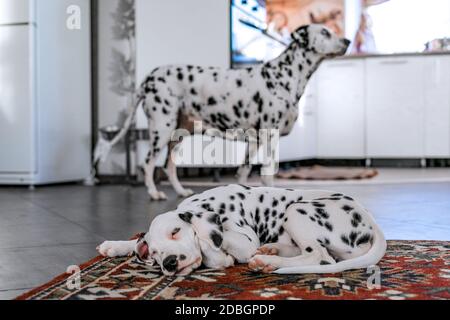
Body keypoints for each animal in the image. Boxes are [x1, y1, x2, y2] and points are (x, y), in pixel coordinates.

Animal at [98, 24, 350, 200]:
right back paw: (153, 193)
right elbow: (267, 175)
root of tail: (148, 79)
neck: (284, 76)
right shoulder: (269, 138)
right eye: (325, 32)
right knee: (149, 164)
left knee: (169, 167)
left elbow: (243, 173)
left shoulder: (254, 142)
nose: (347, 41)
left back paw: (180, 192)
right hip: (161, 129)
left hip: (177, 135)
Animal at [98, 185, 386, 276]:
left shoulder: (244, 240)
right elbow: (137, 239)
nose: (168, 263)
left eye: (176, 231)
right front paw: (117, 245)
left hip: (297, 211)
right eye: (156, 253)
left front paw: (218, 255)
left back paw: (268, 261)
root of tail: (370, 220)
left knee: (320, 257)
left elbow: (210, 238)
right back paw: (271, 250)